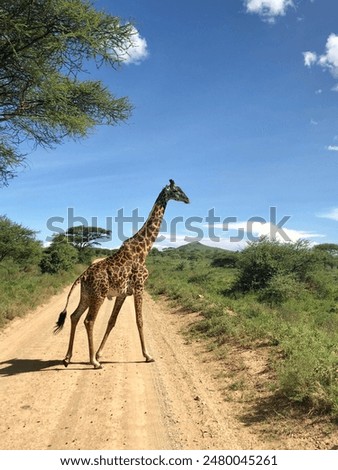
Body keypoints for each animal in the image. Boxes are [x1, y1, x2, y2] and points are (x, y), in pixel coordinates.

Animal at [54, 180, 189, 368]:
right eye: (177, 190)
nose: (188, 199)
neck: (144, 250)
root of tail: (83, 276)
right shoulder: (140, 286)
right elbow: (140, 320)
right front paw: (147, 355)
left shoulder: (123, 293)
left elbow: (112, 321)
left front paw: (100, 353)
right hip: (99, 295)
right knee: (89, 321)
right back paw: (93, 362)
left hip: (86, 295)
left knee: (74, 316)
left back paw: (68, 357)